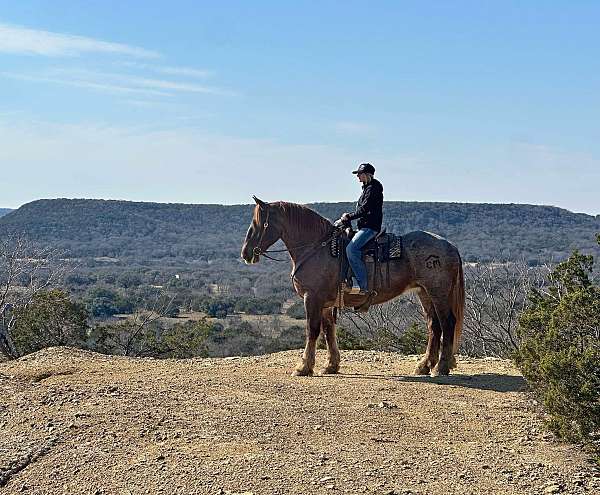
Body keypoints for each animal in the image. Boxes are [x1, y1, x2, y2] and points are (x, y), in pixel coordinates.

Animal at [239, 197, 464, 376]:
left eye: (259, 223)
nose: (246, 253)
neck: (316, 248)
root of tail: (450, 246)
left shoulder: (312, 298)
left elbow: (312, 330)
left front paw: (303, 367)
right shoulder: (326, 303)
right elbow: (329, 330)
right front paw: (331, 365)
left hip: (438, 292)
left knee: (447, 323)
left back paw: (441, 367)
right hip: (424, 293)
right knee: (433, 326)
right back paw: (424, 366)